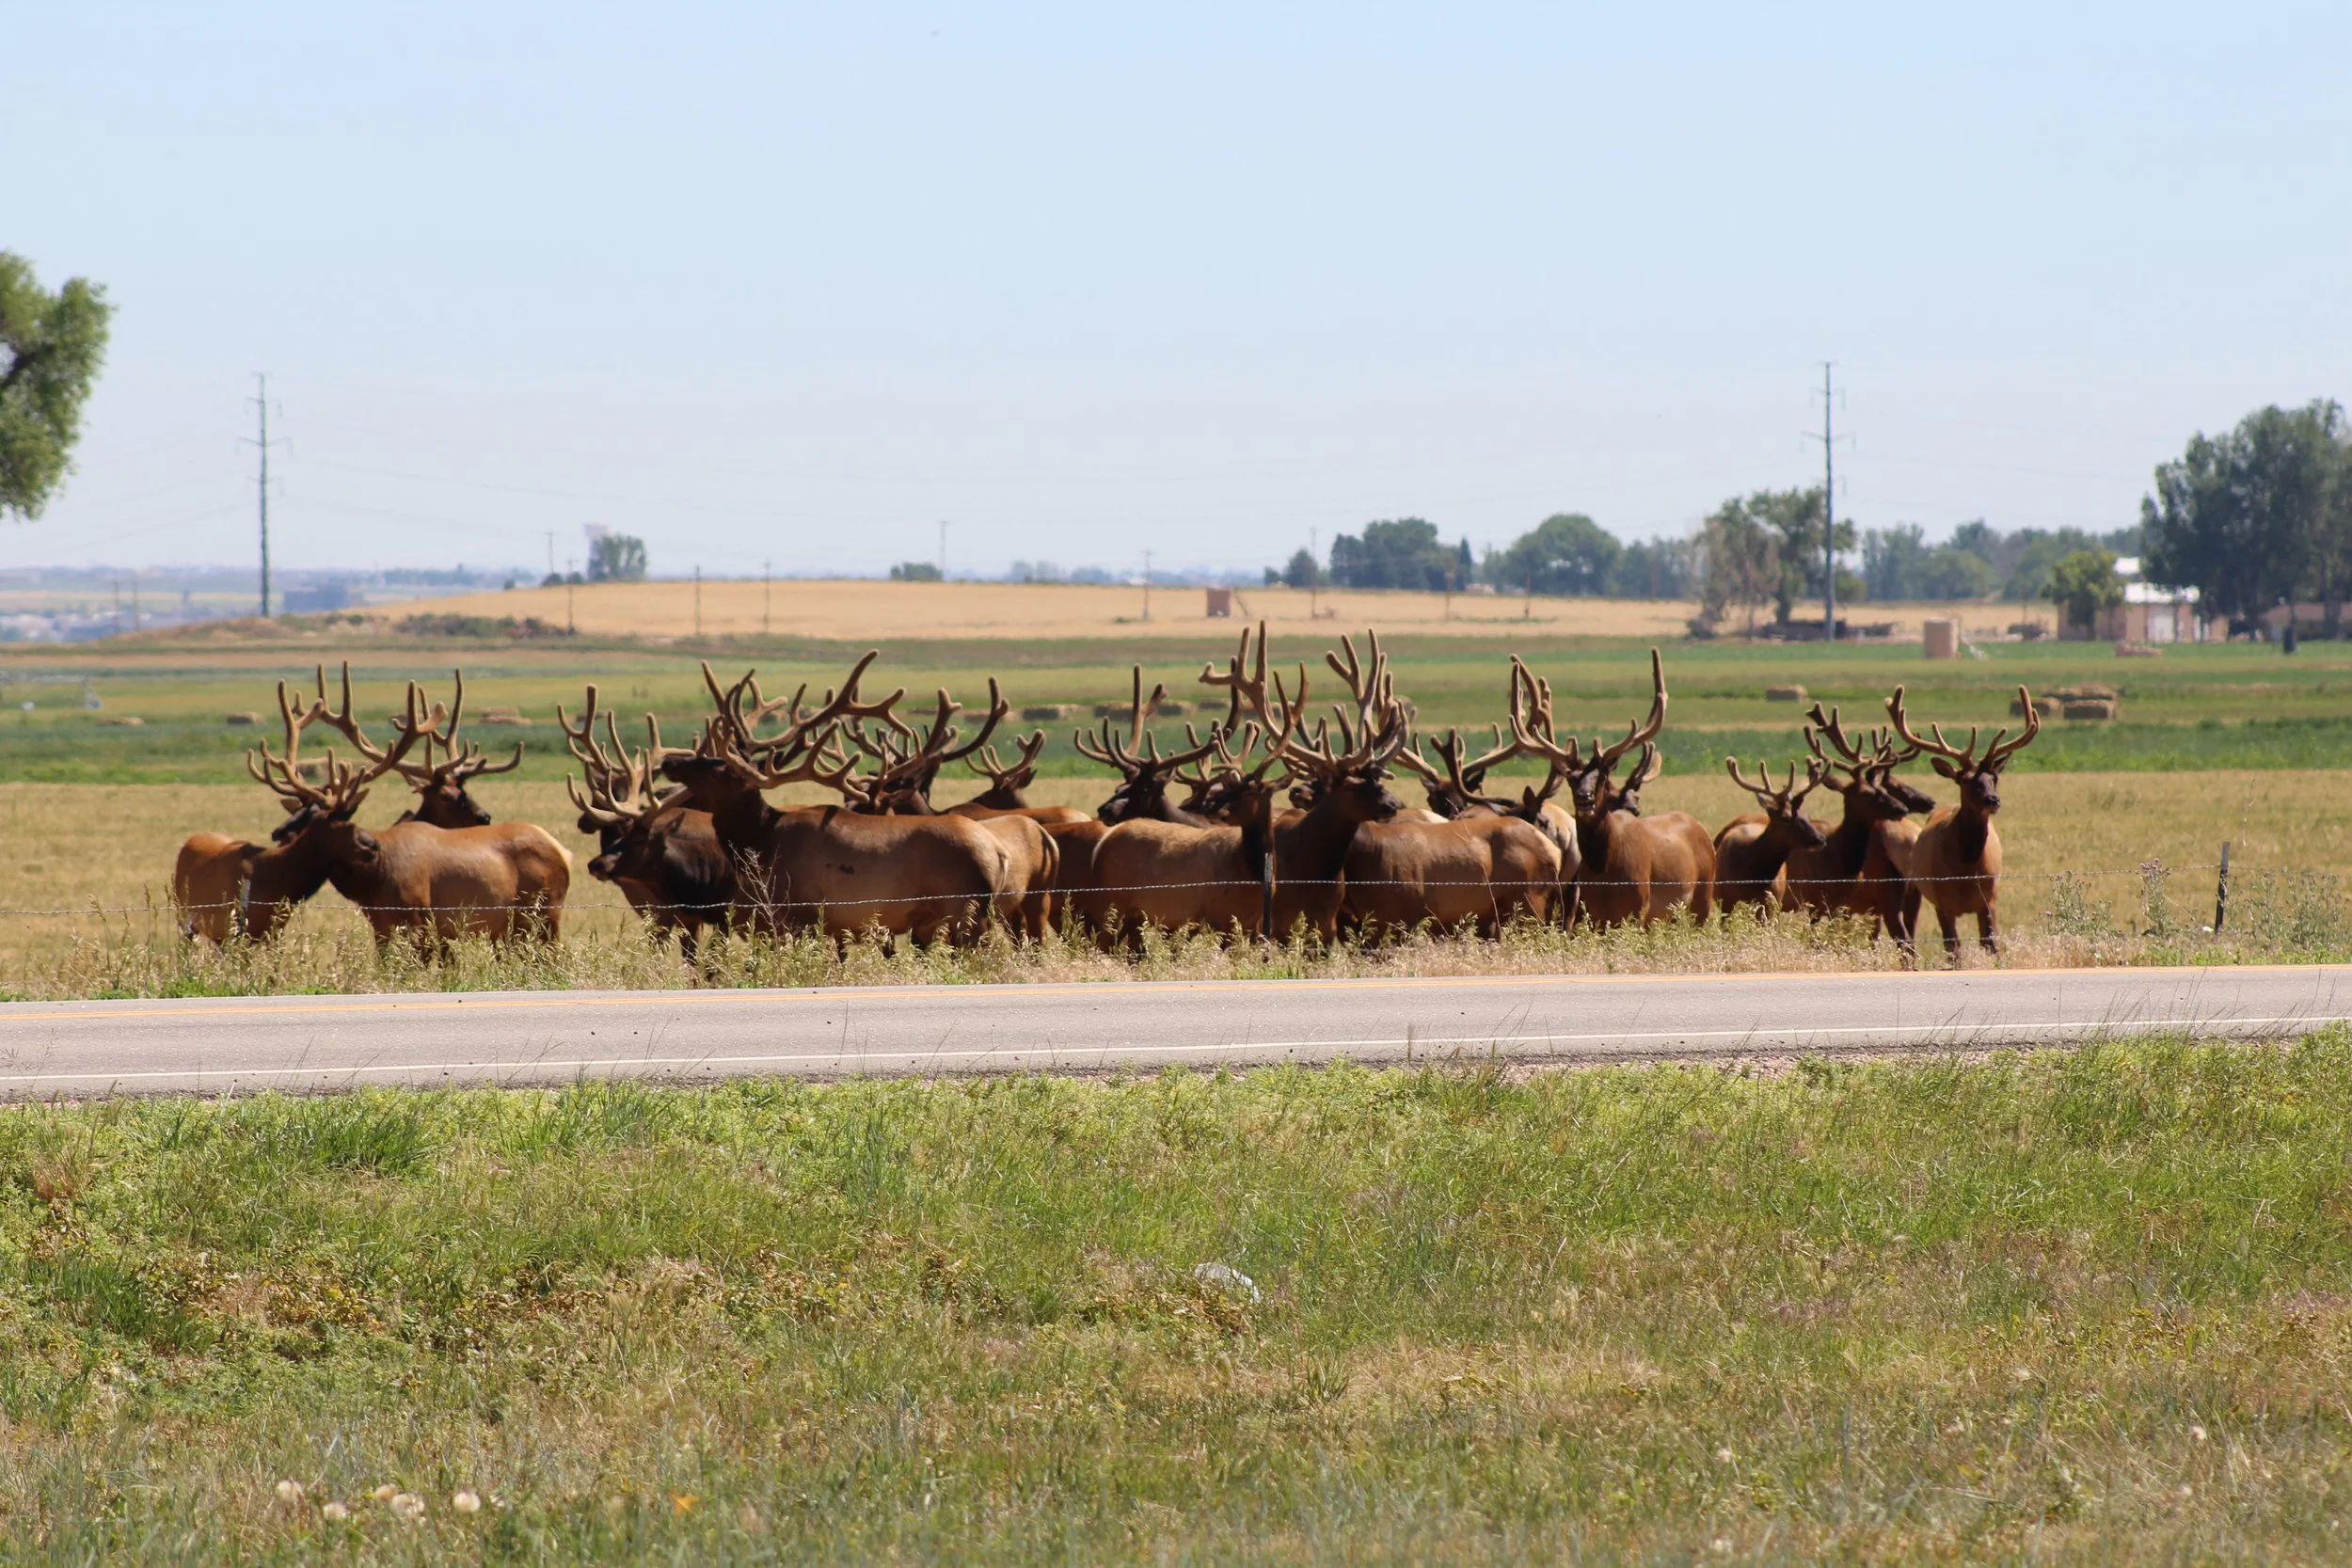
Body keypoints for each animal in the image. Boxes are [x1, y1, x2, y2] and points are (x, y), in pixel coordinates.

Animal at [243, 676, 572, 946]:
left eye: (317, 816)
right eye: (297, 810)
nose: (278, 832)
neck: (372, 882)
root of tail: (564, 852)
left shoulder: (421, 922)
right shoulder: (383, 928)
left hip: (544, 914)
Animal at [657, 658, 1016, 947]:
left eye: (720, 766)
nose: (669, 762)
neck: (761, 844)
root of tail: (1000, 853)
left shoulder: (800, 915)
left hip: (965, 908)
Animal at [1505, 649, 1714, 928]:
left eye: (1603, 776)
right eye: (1571, 778)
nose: (1585, 798)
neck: (1605, 873)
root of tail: (1701, 828)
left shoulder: (1638, 908)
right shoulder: (1593, 913)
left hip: (1703, 896)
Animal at [1881, 684, 2040, 960]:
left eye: (1994, 778)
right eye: (1965, 780)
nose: (1993, 800)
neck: (1965, 871)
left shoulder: (1990, 899)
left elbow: (1991, 945)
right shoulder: (1942, 901)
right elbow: (1953, 948)